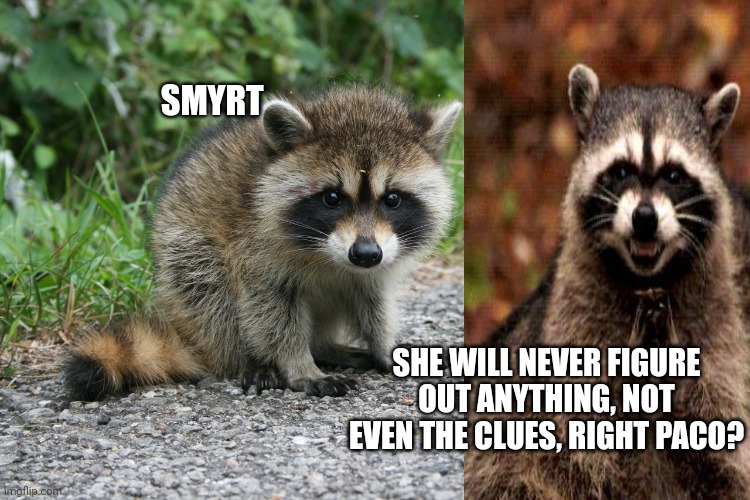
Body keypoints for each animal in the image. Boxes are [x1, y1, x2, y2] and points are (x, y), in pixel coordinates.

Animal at [63, 86, 462, 401]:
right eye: (332, 198)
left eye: (392, 199)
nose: (364, 254)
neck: (331, 258)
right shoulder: (253, 246)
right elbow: (271, 310)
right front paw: (299, 365)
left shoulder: (379, 260)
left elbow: (373, 302)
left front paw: (384, 347)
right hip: (183, 252)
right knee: (207, 286)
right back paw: (249, 360)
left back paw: (328, 348)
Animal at [465, 65, 750, 499]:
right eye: (620, 170)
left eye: (673, 175)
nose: (645, 218)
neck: (648, 284)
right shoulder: (577, 332)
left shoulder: (716, 334)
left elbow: (722, 455)